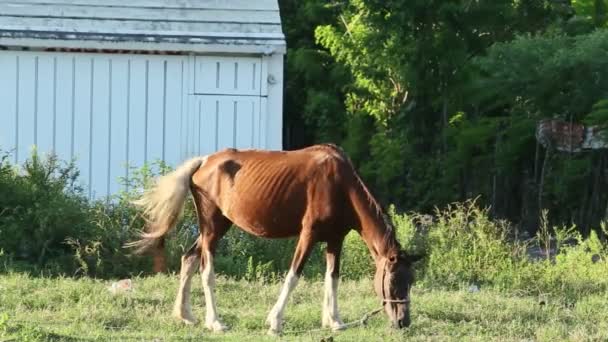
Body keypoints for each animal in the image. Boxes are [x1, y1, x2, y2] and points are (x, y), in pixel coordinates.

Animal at [126, 144, 422, 334]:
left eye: (411, 281)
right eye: (393, 281)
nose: (403, 322)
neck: (340, 184)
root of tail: (203, 162)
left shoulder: (335, 240)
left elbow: (332, 279)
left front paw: (334, 321)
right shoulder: (308, 235)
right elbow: (293, 276)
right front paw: (275, 321)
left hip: (215, 228)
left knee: (188, 259)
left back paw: (186, 315)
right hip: (212, 229)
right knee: (206, 271)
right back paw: (215, 322)